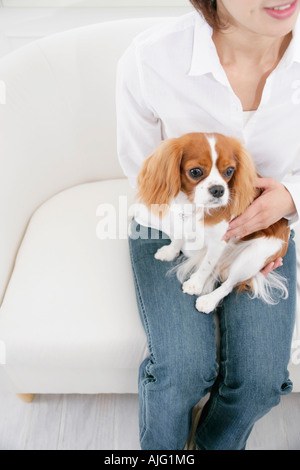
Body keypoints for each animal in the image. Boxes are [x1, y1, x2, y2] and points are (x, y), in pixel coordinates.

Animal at [137, 132, 290, 312]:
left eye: (229, 171)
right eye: (195, 172)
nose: (218, 189)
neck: (195, 206)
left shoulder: (219, 242)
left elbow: (207, 265)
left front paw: (195, 284)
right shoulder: (182, 219)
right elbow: (179, 236)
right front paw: (170, 251)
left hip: (254, 255)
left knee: (229, 284)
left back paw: (209, 300)